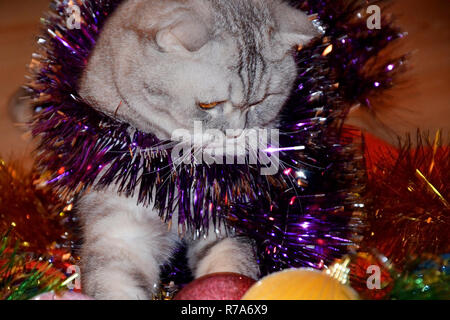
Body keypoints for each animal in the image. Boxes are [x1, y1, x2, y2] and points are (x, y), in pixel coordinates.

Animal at [77, 0, 316, 300]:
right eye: (207, 105)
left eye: (261, 101)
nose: (235, 133)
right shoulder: (120, 232)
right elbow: (115, 285)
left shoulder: (224, 226)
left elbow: (228, 269)